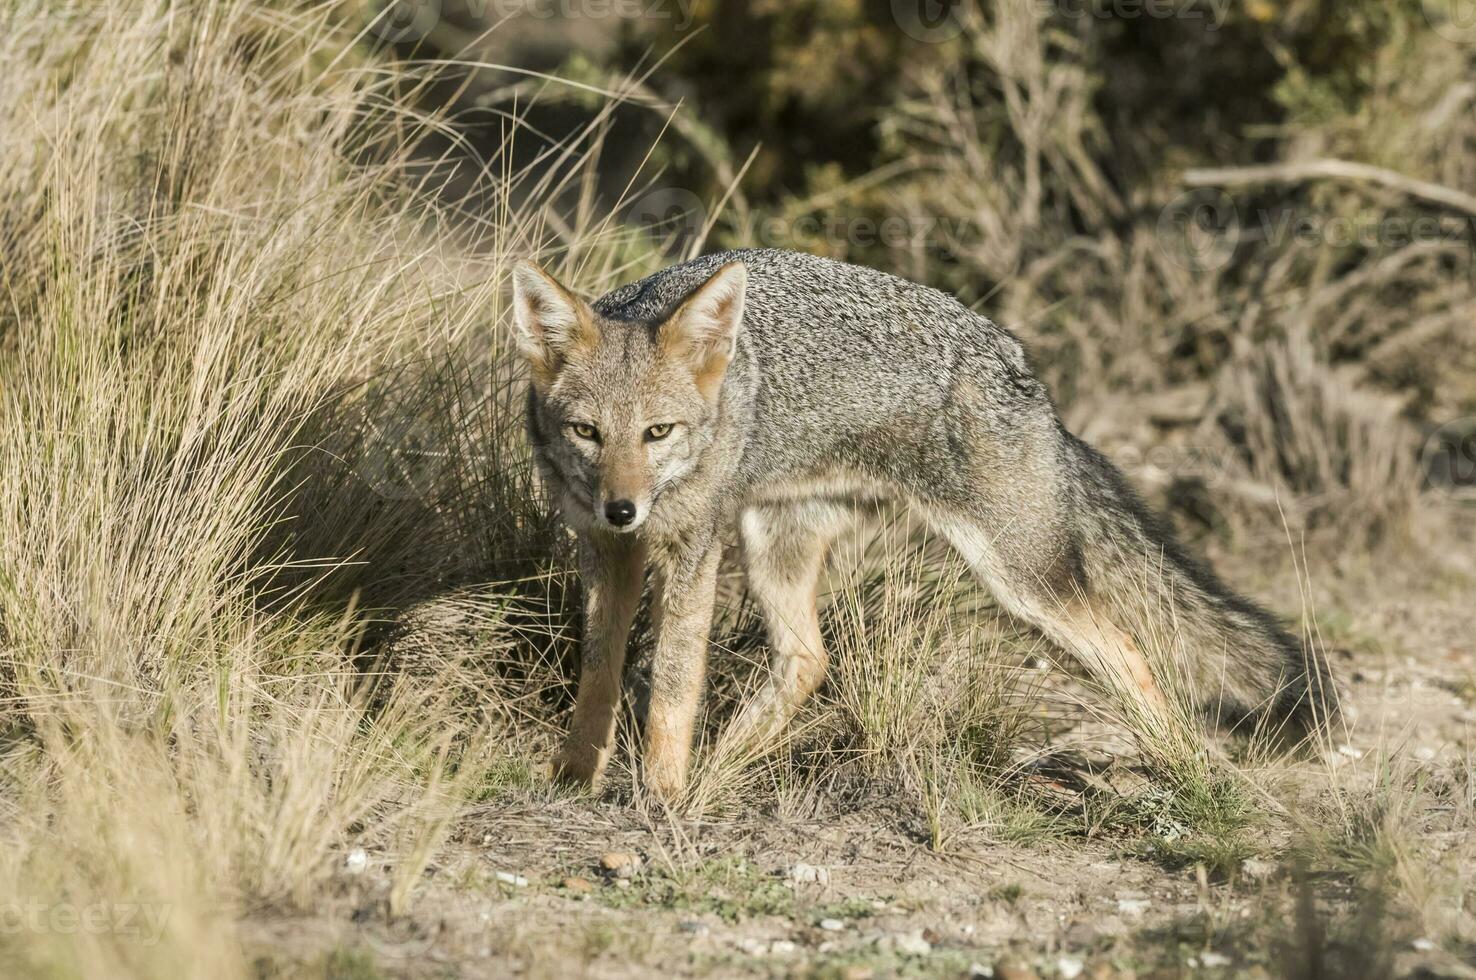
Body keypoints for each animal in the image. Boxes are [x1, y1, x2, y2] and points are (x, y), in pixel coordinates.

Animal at [513, 249, 1346, 802]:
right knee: (808, 659)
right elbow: (599, 671)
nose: (625, 506)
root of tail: (1028, 373)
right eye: (587, 432)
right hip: (776, 543)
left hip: (1018, 574)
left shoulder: (691, 548)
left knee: (1131, 650)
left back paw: (1184, 768)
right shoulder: (603, 549)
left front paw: (658, 795)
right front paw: (573, 780)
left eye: (659, 433)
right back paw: (722, 768)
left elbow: (675, 683)